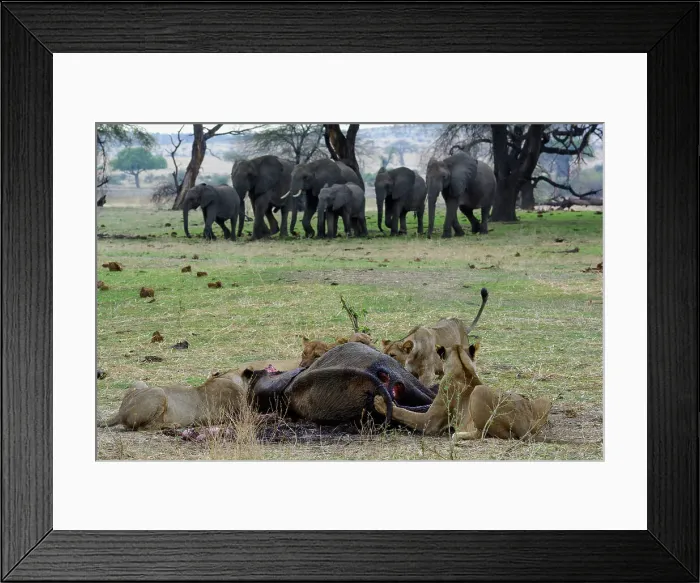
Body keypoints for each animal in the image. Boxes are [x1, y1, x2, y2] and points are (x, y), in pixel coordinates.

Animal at [373, 343, 552, 440]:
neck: (462, 367)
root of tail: (524, 425)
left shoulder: (430, 422)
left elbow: (405, 413)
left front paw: (381, 402)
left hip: (478, 392)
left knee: (483, 433)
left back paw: (459, 434)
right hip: (545, 399)